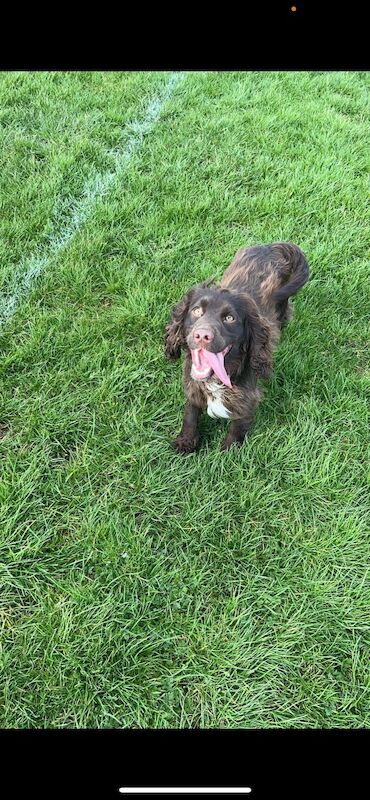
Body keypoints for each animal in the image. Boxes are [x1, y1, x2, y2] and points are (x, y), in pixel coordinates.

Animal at [165, 241, 310, 454]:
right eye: (196, 311)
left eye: (230, 318)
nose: (202, 336)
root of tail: (270, 246)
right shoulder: (193, 384)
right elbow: (190, 413)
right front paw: (186, 441)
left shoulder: (247, 398)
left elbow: (238, 424)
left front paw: (229, 451)